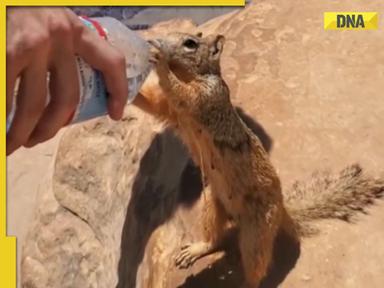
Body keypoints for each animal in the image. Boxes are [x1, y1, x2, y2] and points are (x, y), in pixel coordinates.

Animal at [133, 32, 384, 288]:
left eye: (190, 43)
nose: (154, 42)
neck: (191, 75)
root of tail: (283, 210)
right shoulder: (172, 111)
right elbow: (152, 103)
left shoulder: (208, 96)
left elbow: (183, 93)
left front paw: (158, 61)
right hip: (213, 203)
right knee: (214, 239)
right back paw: (195, 249)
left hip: (257, 229)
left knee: (256, 264)